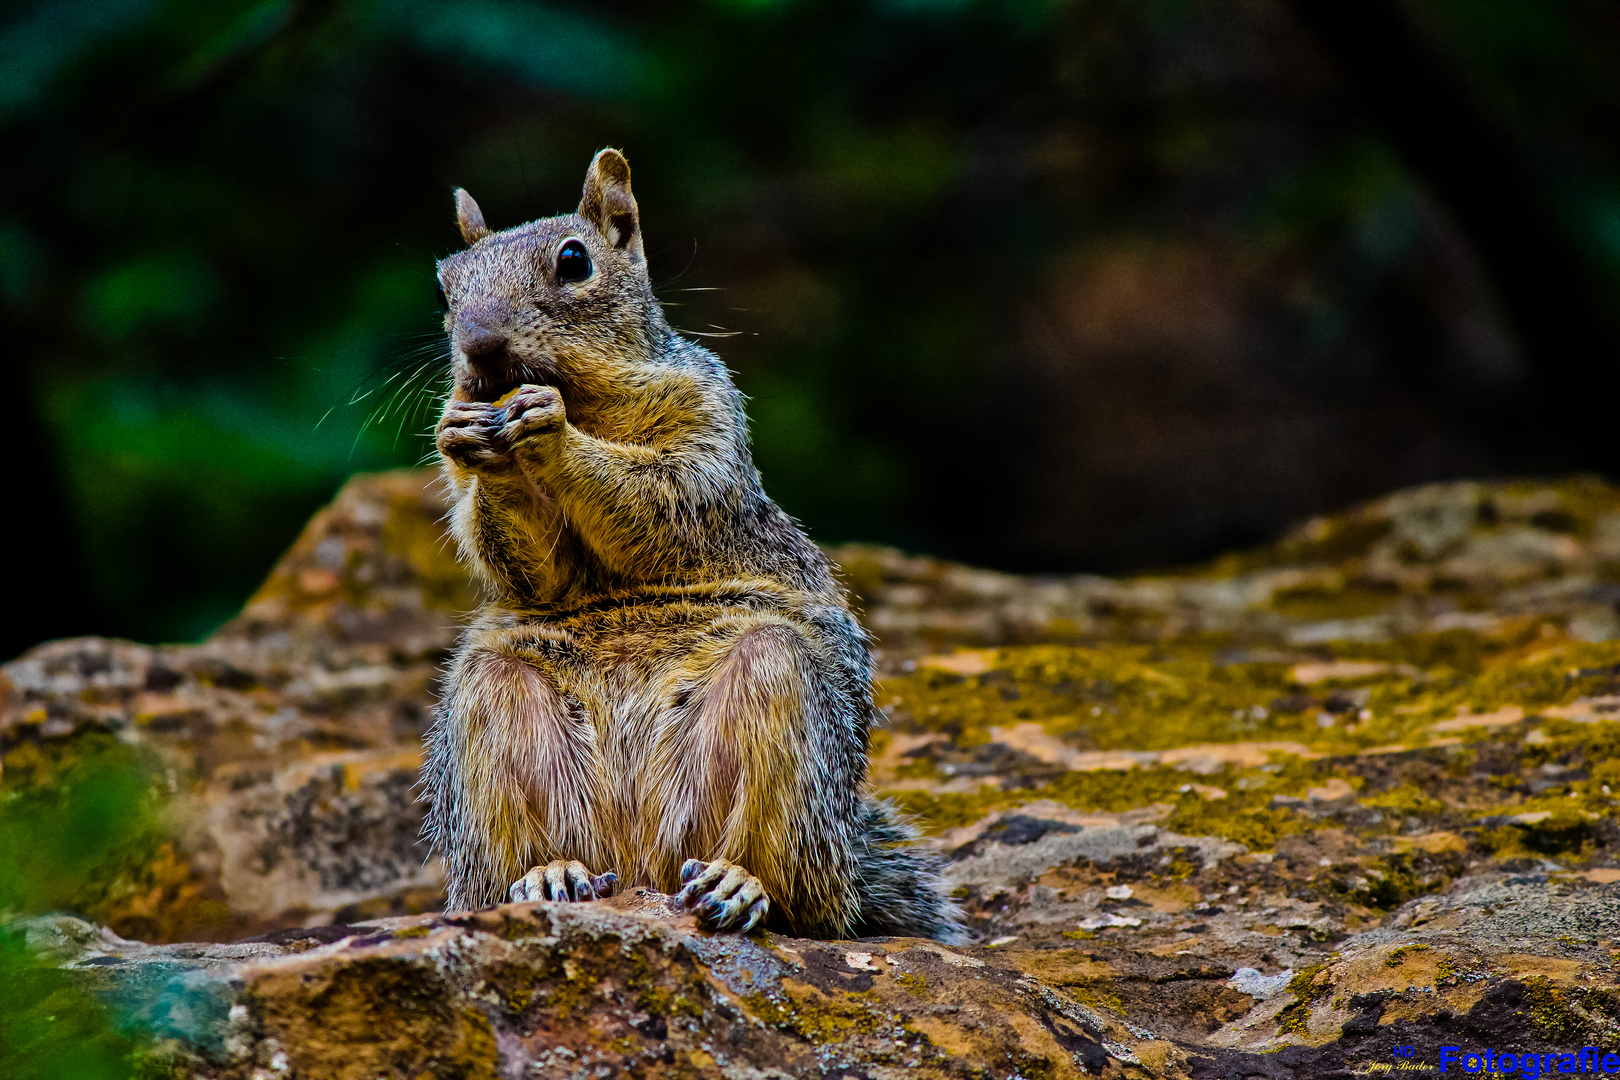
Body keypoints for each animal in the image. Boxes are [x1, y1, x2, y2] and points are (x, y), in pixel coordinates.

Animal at [417, 148, 959, 939]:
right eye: (446, 285)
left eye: (574, 261)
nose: (478, 347)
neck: (588, 398)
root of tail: (640, 865)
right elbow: (531, 567)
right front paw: (468, 434)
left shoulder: (705, 422)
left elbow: (661, 500)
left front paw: (553, 433)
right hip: (492, 714)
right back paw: (550, 875)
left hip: (780, 705)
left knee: (795, 896)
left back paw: (739, 886)